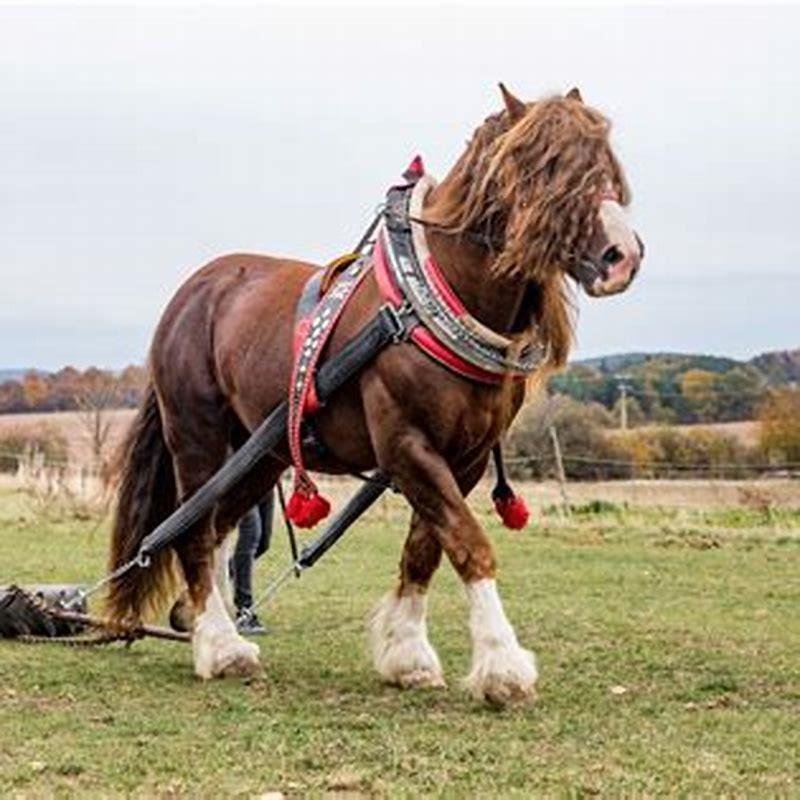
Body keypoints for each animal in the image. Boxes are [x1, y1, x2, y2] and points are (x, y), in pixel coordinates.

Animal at [106, 84, 643, 706]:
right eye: (545, 168)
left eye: (607, 167)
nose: (622, 255)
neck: (428, 301)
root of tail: (193, 290)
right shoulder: (406, 445)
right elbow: (469, 542)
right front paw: (503, 665)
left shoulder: (464, 458)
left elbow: (426, 549)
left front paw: (408, 655)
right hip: (197, 433)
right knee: (193, 530)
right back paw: (220, 647)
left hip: (261, 452)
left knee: (216, 526)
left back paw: (202, 625)